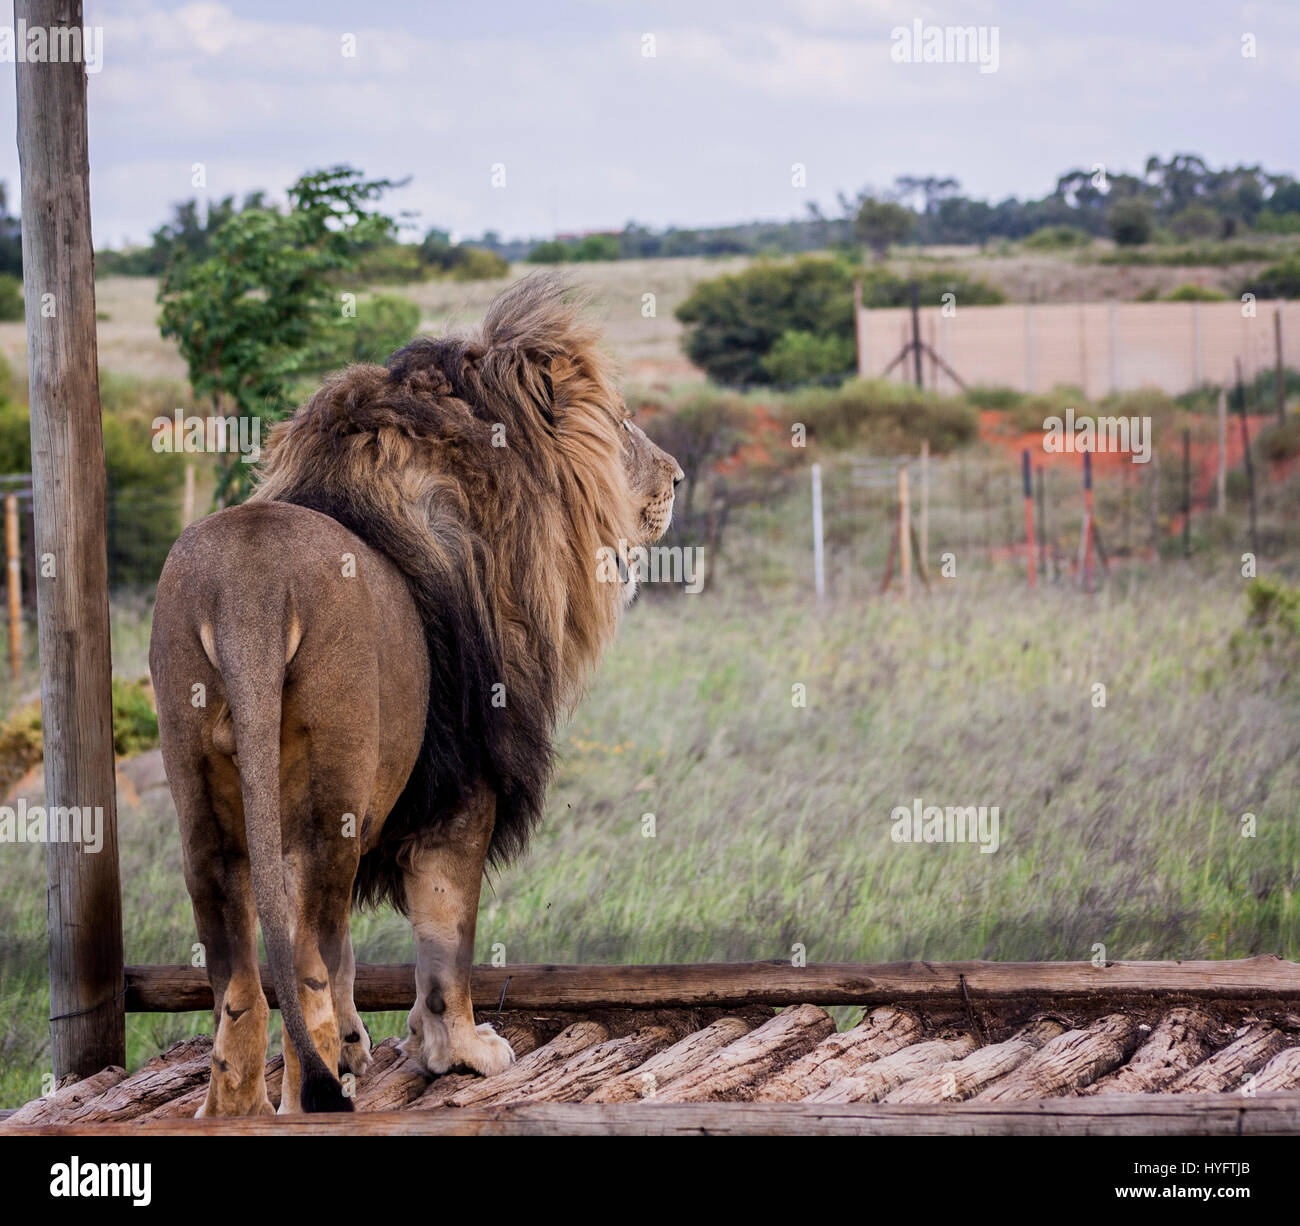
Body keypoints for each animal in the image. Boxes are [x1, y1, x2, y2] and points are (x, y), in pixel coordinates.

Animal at [149, 274, 682, 1115]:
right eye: (622, 420)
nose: (678, 478)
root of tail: (247, 592)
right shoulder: (462, 792)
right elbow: (445, 941)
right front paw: (459, 1050)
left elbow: (347, 953)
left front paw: (359, 1043)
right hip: (330, 806)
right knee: (302, 967)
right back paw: (315, 1095)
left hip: (205, 803)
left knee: (244, 978)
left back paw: (236, 1105)